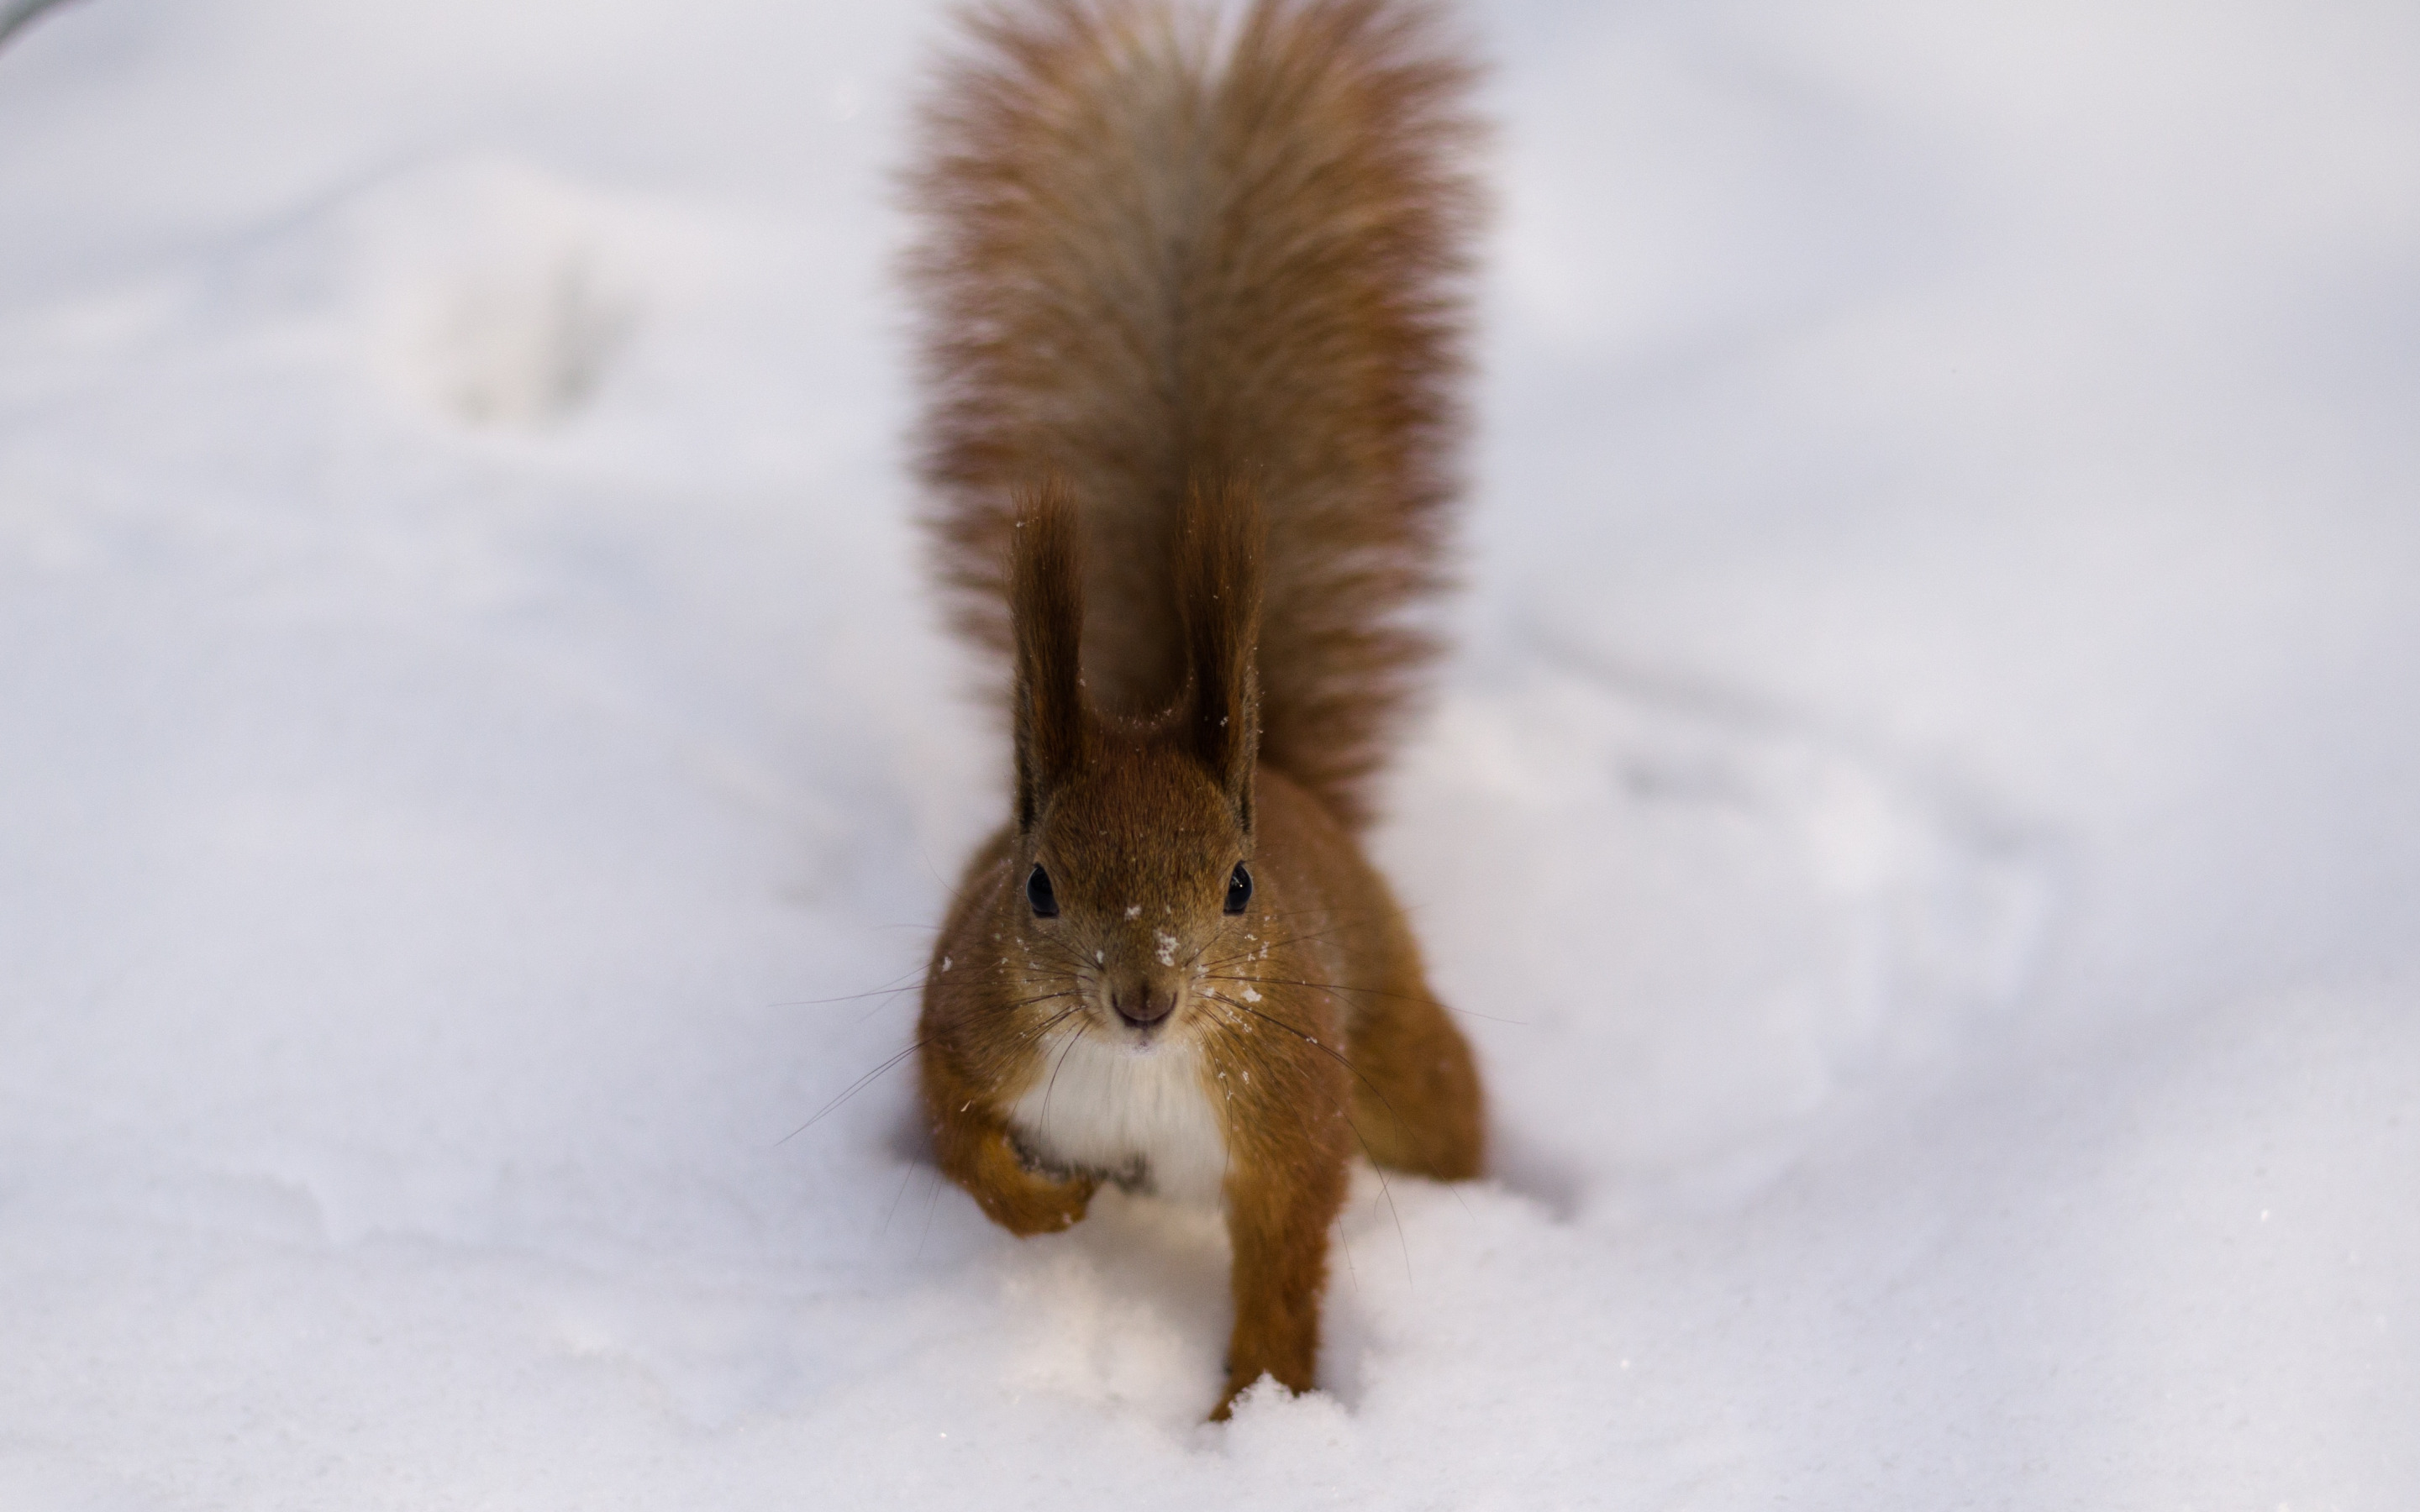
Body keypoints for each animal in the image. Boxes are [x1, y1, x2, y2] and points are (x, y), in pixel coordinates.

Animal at [905, 0, 1481, 1412]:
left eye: (1237, 886)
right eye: (1036, 884)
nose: (1145, 997)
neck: (1136, 1073)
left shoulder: (1292, 1109)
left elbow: (1285, 1258)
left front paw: (1254, 1411)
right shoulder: (960, 1022)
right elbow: (960, 1143)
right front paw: (1049, 1213)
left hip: (1399, 1052)